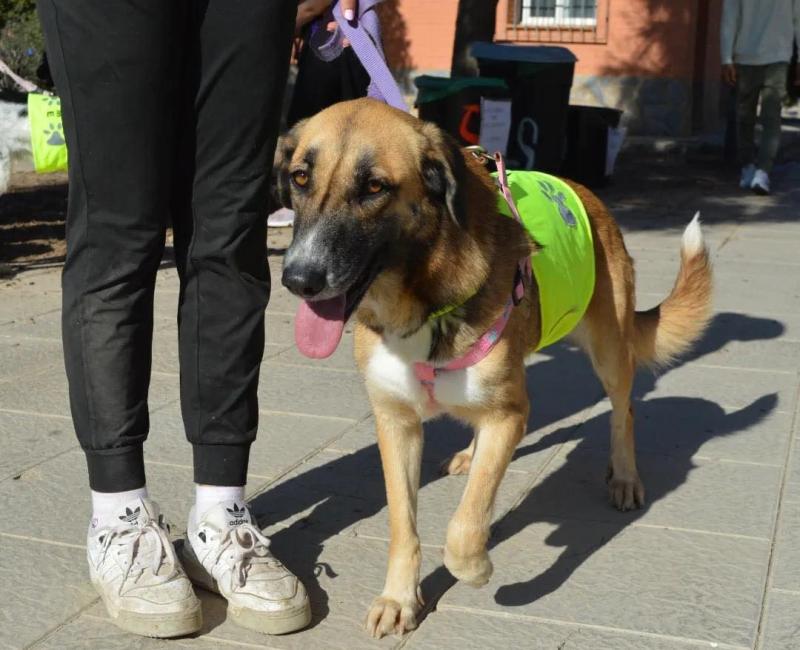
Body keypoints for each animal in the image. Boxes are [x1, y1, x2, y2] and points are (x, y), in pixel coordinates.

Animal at [274, 98, 713, 638]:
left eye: (374, 187)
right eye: (300, 178)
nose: (298, 279)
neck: (420, 300)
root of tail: (589, 193)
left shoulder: (510, 415)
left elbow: (465, 525)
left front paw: (475, 567)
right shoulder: (396, 423)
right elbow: (403, 525)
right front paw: (400, 598)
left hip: (609, 349)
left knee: (622, 411)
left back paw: (625, 477)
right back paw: (472, 453)